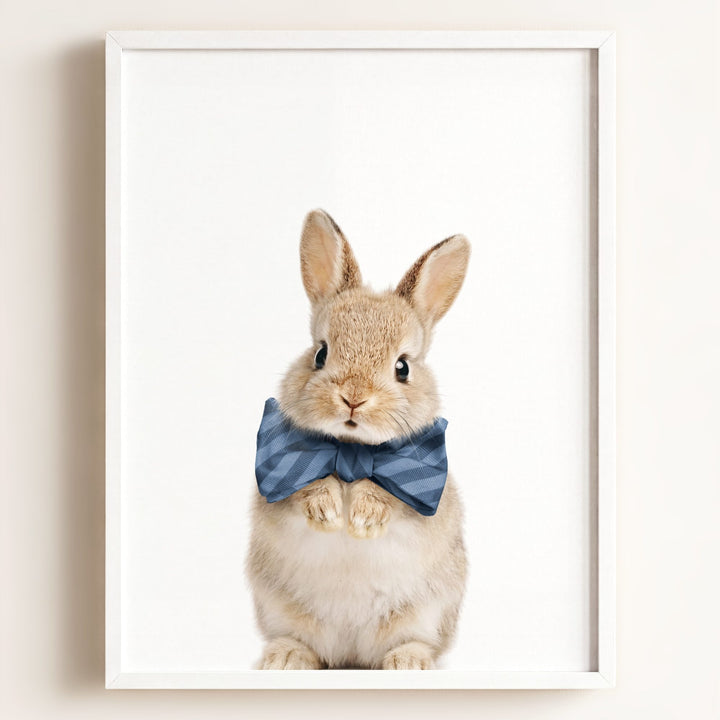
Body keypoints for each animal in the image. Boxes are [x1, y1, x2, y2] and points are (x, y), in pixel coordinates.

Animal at [246, 209, 470, 670]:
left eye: (403, 367)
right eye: (320, 353)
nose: (353, 398)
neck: (350, 452)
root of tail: (351, 654)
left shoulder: (423, 492)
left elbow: (392, 499)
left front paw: (363, 519)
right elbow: (305, 486)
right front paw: (329, 513)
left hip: (426, 613)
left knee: (413, 642)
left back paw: (409, 663)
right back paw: (285, 658)